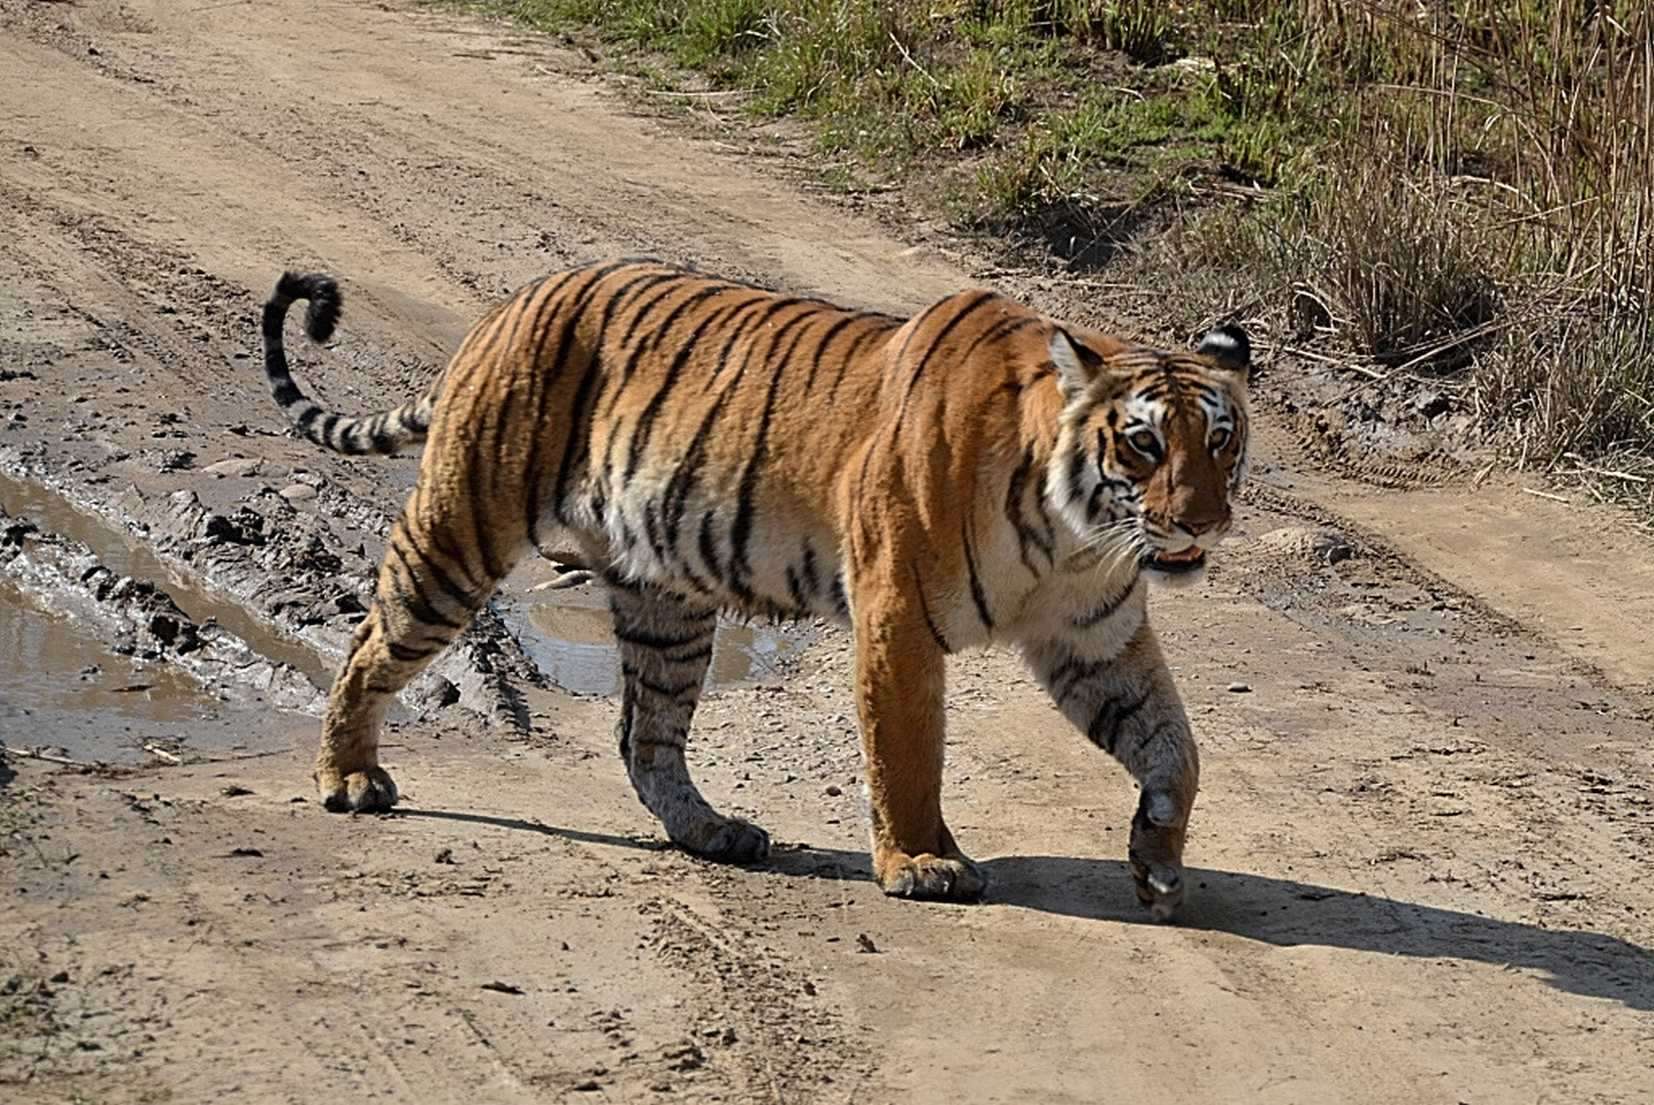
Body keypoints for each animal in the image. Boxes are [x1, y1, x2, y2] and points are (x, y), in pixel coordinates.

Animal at [259, 258, 1251, 920]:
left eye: (1221, 439)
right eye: (1144, 444)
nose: (1204, 522)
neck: (1074, 537)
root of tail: (510, 304)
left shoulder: (1095, 635)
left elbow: (1175, 746)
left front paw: (1158, 861)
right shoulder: (898, 619)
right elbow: (908, 752)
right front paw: (921, 862)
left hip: (667, 604)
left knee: (645, 737)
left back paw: (714, 831)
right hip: (462, 528)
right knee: (369, 643)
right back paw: (348, 775)